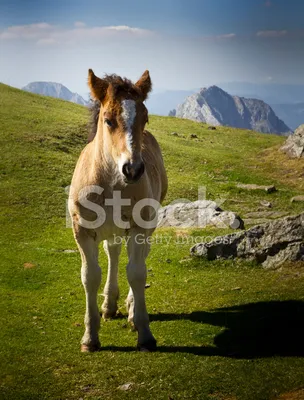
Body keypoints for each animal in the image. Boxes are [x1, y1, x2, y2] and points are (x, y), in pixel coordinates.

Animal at [68, 70, 167, 352]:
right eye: (108, 120)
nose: (132, 169)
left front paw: (145, 333)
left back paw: (130, 310)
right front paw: (90, 338)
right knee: (112, 251)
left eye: (145, 118)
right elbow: (89, 276)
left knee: (139, 257)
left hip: (148, 224)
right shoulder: (81, 229)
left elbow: (136, 272)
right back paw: (109, 305)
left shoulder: (139, 227)